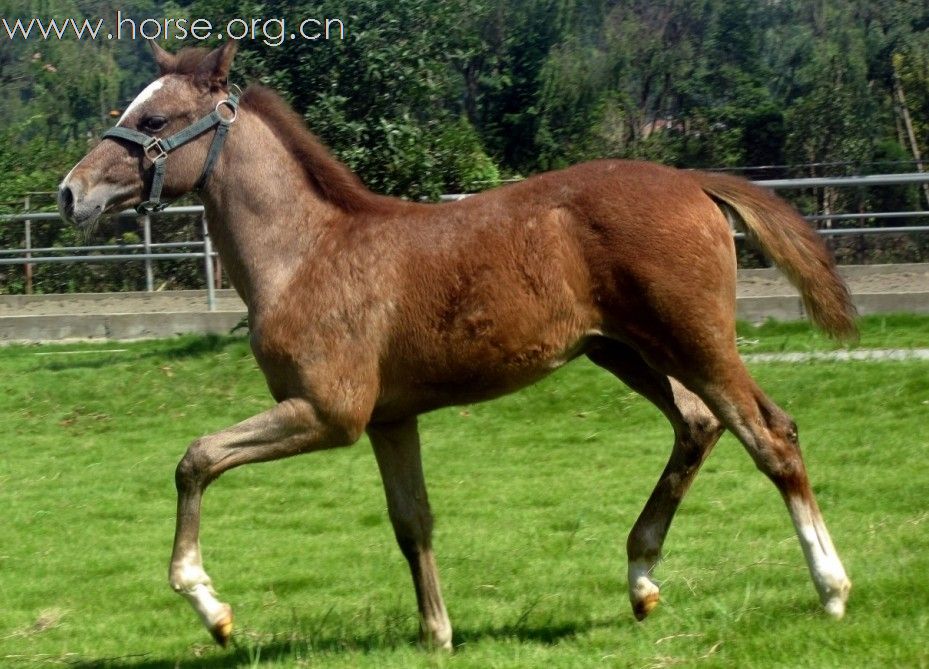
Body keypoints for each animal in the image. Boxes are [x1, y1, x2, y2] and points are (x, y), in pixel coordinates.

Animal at [58, 41, 856, 648]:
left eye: (154, 117)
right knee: (696, 424)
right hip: (626, 352)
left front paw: (211, 607)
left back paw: (831, 588)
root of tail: (693, 182)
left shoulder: (327, 414)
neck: (307, 253)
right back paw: (641, 581)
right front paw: (437, 633)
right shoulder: (389, 419)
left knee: (770, 435)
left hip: (694, 342)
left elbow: (196, 458)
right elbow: (412, 521)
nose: (71, 194)